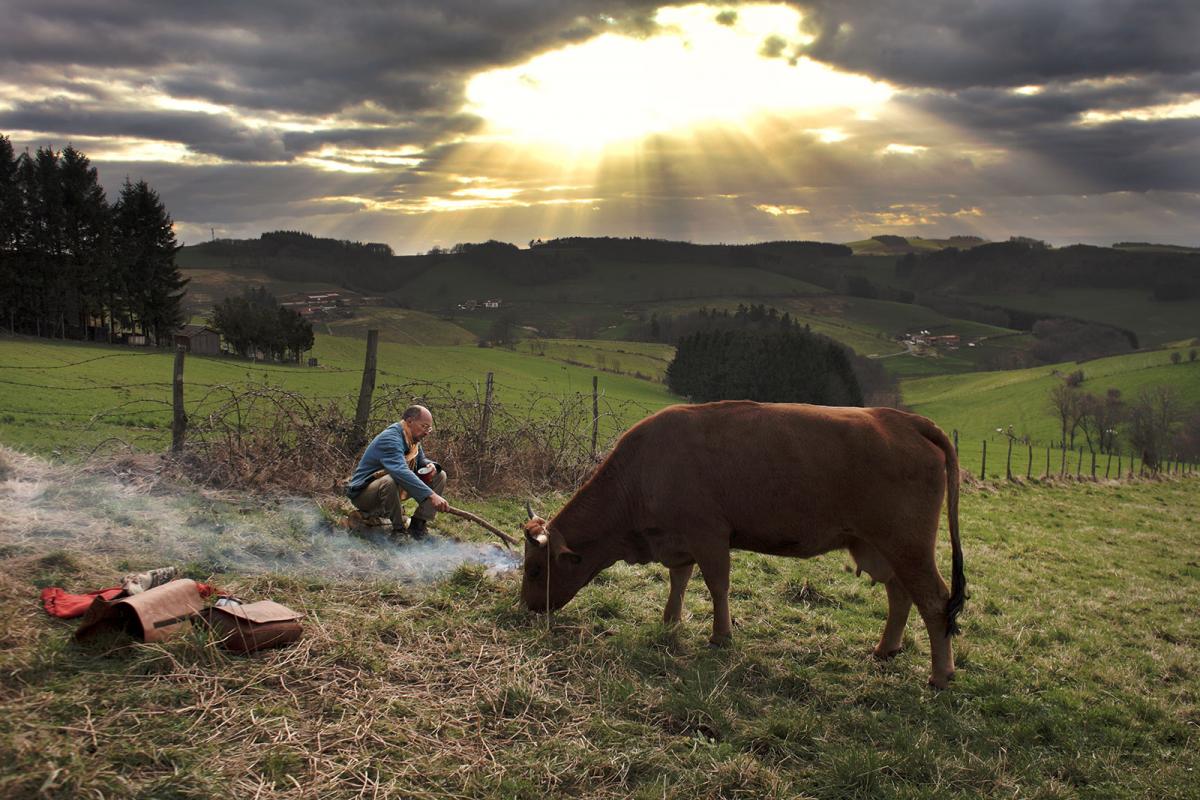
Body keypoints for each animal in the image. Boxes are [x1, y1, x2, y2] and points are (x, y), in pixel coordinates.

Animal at [523, 400, 964, 690]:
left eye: (536, 567)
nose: (526, 606)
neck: (643, 471)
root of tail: (904, 420)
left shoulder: (709, 536)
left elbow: (717, 585)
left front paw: (720, 636)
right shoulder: (679, 540)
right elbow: (679, 581)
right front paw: (670, 621)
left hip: (908, 546)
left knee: (935, 601)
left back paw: (940, 675)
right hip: (878, 547)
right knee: (900, 594)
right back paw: (885, 649)